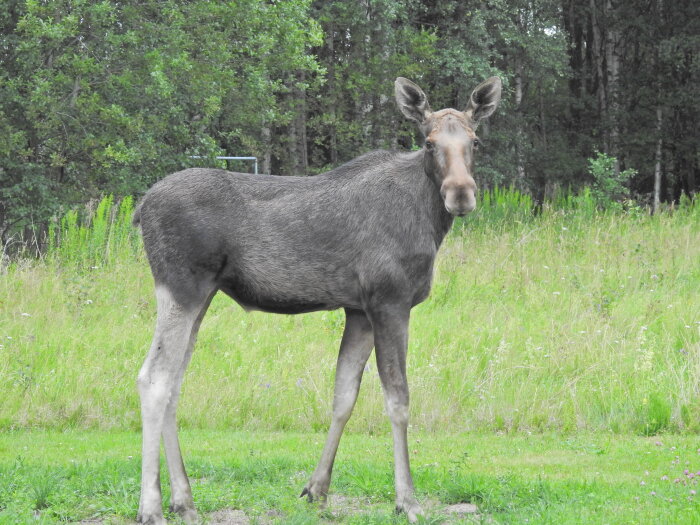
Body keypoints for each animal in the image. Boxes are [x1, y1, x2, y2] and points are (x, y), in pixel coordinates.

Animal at [131, 75, 500, 520]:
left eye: (475, 140)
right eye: (429, 142)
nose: (461, 194)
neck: (429, 220)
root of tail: (141, 208)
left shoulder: (358, 309)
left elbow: (344, 396)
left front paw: (317, 489)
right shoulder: (389, 301)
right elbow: (398, 399)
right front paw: (407, 500)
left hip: (201, 296)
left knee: (174, 383)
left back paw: (184, 500)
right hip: (181, 287)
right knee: (153, 378)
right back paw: (151, 506)